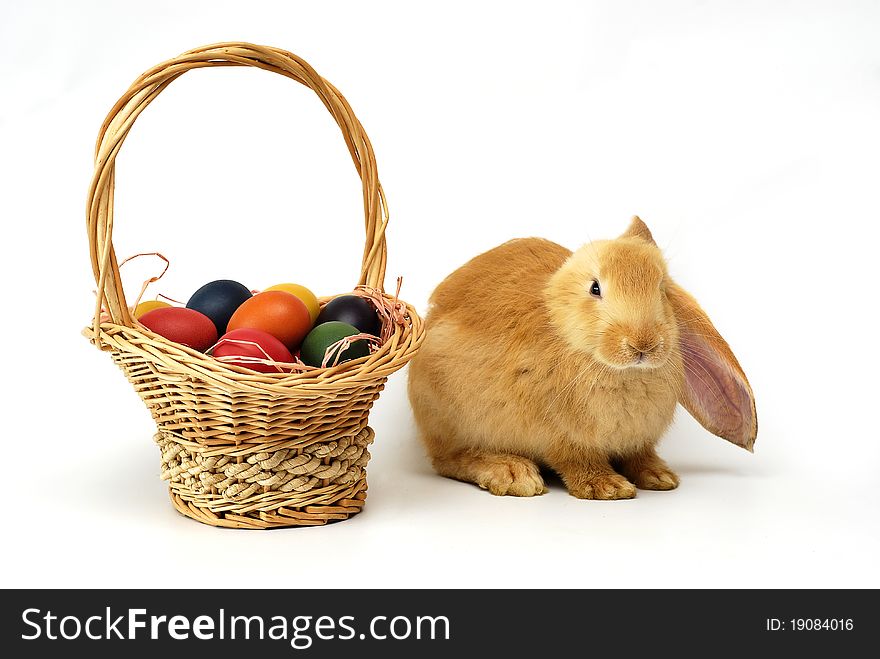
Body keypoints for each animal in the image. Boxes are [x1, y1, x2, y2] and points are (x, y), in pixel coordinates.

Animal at [406, 217, 756, 500]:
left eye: (661, 289)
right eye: (595, 288)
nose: (643, 344)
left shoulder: (637, 442)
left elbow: (640, 456)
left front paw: (660, 476)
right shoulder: (563, 439)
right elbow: (577, 461)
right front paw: (607, 487)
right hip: (447, 416)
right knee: (449, 460)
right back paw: (512, 473)